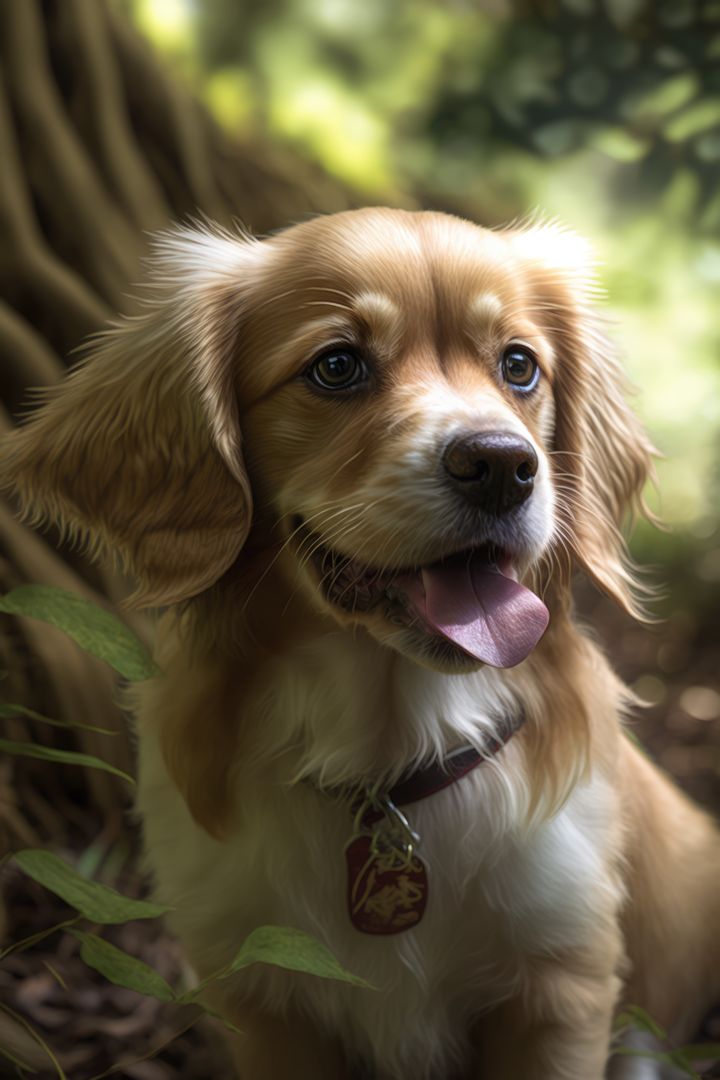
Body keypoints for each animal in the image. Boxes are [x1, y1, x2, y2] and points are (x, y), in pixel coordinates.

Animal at [1, 210, 720, 1080]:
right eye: (337, 366)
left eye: (519, 366)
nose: (502, 465)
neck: (391, 759)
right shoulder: (262, 994)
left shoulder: (560, 987)